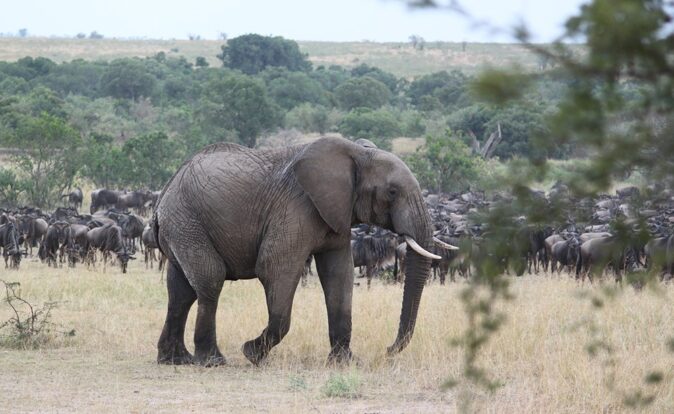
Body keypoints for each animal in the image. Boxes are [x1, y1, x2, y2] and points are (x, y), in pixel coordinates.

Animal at [153, 136, 455, 367]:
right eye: (392, 192)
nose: (388, 350)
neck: (356, 153)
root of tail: (166, 188)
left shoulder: (337, 214)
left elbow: (339, 275)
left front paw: (344, 363)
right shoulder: (296, 207)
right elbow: (274, 267)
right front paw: (251, 353)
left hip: (181, 225)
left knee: (181, 292)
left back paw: (175, 360)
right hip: (186, 220)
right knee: (210, 281)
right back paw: (212, 361)